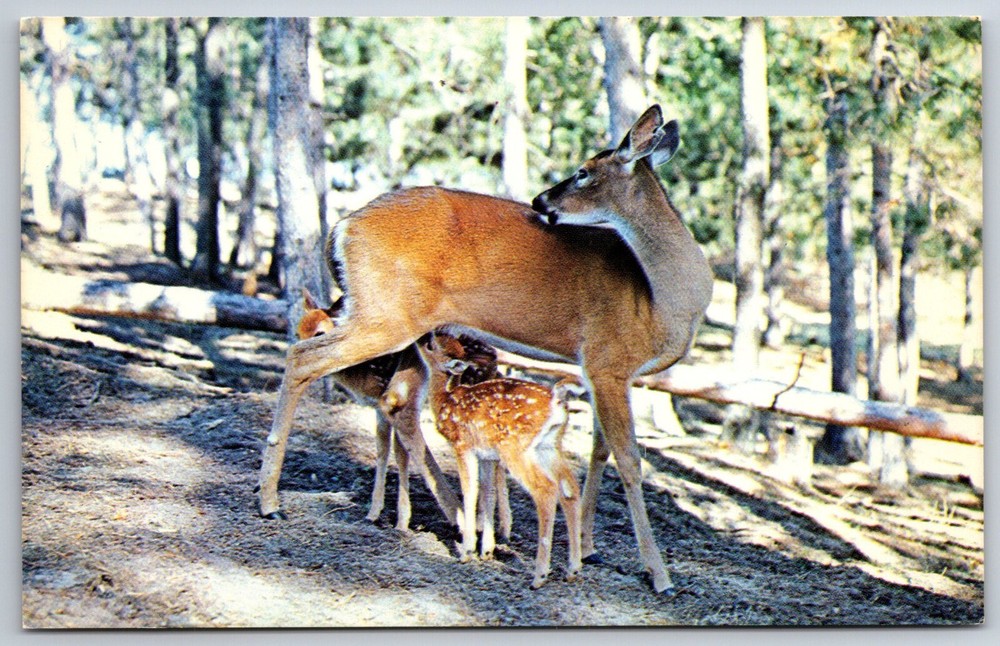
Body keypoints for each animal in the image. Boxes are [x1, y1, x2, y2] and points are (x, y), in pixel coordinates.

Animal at [297, 290, 511, 537]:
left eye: (320, 333)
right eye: (298, 331)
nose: (303, 356)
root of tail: (494, 359)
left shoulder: (398, 404)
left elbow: (401, 456)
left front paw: (401, 522)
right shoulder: (379, 409)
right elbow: (382, 450)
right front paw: (373, 513)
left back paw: (483, 525)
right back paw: (502, 528)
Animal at [418, 332, 585, 589]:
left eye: (431, 344)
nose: (422, 337)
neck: (445, 401)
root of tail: (557, 400)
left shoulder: (462, 445)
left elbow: (469, 491)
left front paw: (467, 552)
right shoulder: (487, 456)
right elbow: (488, 492)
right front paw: (485, 551)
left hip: (515, 447)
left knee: (546, 489)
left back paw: (539, 576)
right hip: (549, 447)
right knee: (570, 489)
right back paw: (573, 570)